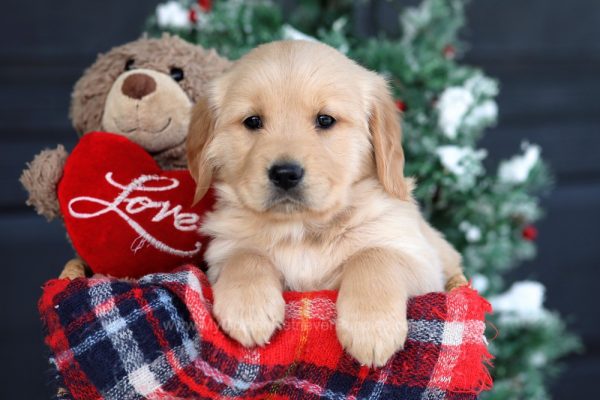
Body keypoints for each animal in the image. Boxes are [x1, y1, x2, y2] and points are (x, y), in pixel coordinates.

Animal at [186, 39, 464, 366]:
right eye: (252, 121)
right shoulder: (222, 252)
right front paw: (247, 309)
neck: (302, 231)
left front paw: (372, 327)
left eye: (325, 120)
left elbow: (373, 255)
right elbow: (245, 256)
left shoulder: (422, 262)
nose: (285, 174)